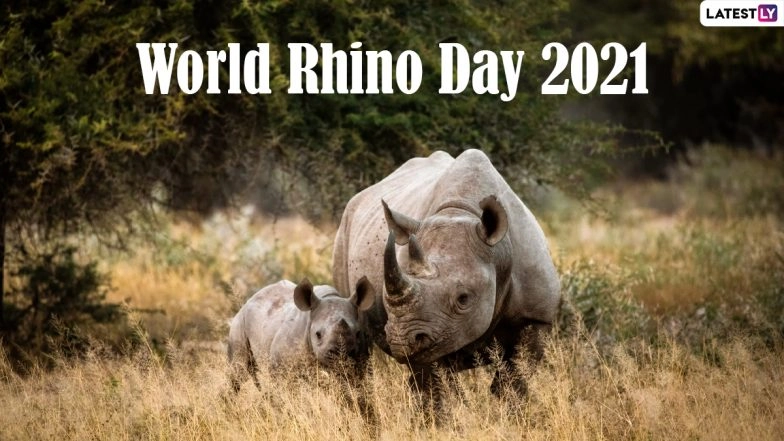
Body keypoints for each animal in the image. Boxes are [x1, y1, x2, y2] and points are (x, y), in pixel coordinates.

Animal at [227, 277, 375, 392]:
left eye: (358, 333)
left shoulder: (361, 363)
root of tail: (249, 300)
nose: (340, 356)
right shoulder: (280, 368)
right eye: (318, 335)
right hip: (238, 323)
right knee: (238, 372)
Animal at [332, 149, 560, 405]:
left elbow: (513, 381)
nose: (402, 340)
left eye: (463, 298)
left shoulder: (536, 317)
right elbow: (438, 388)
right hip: (344, 233)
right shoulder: (431, 329)